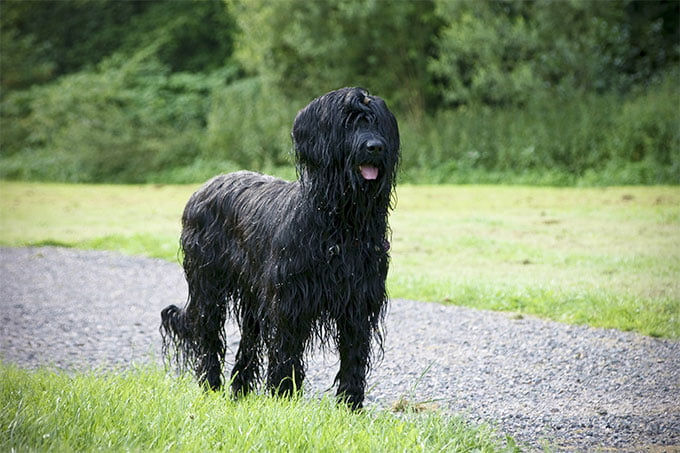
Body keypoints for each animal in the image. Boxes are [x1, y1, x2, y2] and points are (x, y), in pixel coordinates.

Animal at [161, 86, 398, 408]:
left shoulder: (358, 300)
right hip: (207, 283)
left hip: (252, 293)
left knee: (249, 340)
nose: (375, 147)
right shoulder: (290, 299)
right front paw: (282, 396)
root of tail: (204, 186)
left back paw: (240, 390)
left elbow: (354, 354)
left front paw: (350, 405)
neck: (340, 223)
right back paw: (211, 385)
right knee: (207, 332)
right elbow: (286, 350)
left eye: (377, 123)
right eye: (349, 122)